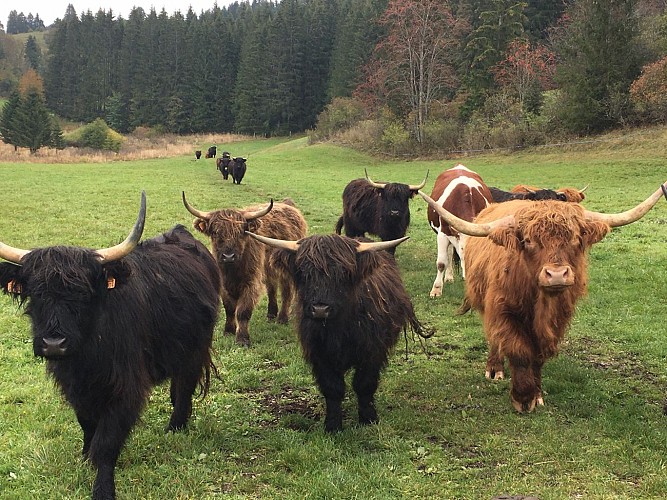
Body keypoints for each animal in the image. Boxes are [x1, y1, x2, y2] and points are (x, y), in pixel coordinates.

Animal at [0, 192, 221, 500]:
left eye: (83, 293)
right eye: (35, 292)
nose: (54, 344)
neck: (87, 358)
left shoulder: (125, 388)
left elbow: (107, 442)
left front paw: (102, 487)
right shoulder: (75, 387)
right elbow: (86, 423)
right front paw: (84, 456)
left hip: (196, 347)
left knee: (186, 385)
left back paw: (175, 427)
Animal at [182, 193, 307, 346]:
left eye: (241, 232)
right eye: (215, 232)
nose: (228, 256)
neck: (232, 271)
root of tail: (287, 204)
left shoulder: (251, 282)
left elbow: (243, 311)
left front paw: (242, 339)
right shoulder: (224, 285)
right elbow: (229, 308)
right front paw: (228, 330)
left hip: (285, 271)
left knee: (286, 292)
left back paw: (282, 318)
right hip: (267, 269)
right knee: (271, 287)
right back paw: (271, 313)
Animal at [245, 232, 427, 432]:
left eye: (343, 273)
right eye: (303, 273)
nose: (320, 309)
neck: (338, 329)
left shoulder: (372, 351)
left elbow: (364, 384)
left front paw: (368, 418)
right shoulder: (319, 354)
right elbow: (332, 388)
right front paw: (332, 424)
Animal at [419, 182, 667, 412]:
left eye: (576, 238)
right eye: (528, 240)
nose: (556, 274)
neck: (539, 302)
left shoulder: (557, 320)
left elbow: (538, 357)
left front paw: (536, 395)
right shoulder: (503, 311)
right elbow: (518, 351)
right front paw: (522, 397)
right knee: (494, 339)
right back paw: (495, 369)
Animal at [426, 164, 493, 297]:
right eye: (463, 249)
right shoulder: (442, 234)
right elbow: (441, 263)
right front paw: (436, 289)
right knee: (449, 254)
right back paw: (449, 277)